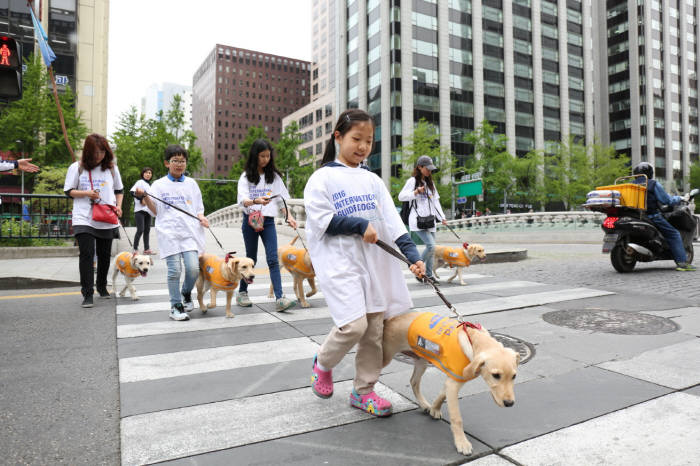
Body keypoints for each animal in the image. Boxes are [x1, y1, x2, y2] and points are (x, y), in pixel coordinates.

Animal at [382, 312, 520, 456]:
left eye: (514, 376)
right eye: (496, 375)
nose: (509, 403)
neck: (474, 340)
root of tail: (392, 318)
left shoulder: (452, 380)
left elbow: (442, 395)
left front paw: (434, 409)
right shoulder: (453, 384)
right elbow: (457, 418)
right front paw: (462, 442)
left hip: (421, 360)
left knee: (414, 382)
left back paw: (424, 404)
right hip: (384, 357)